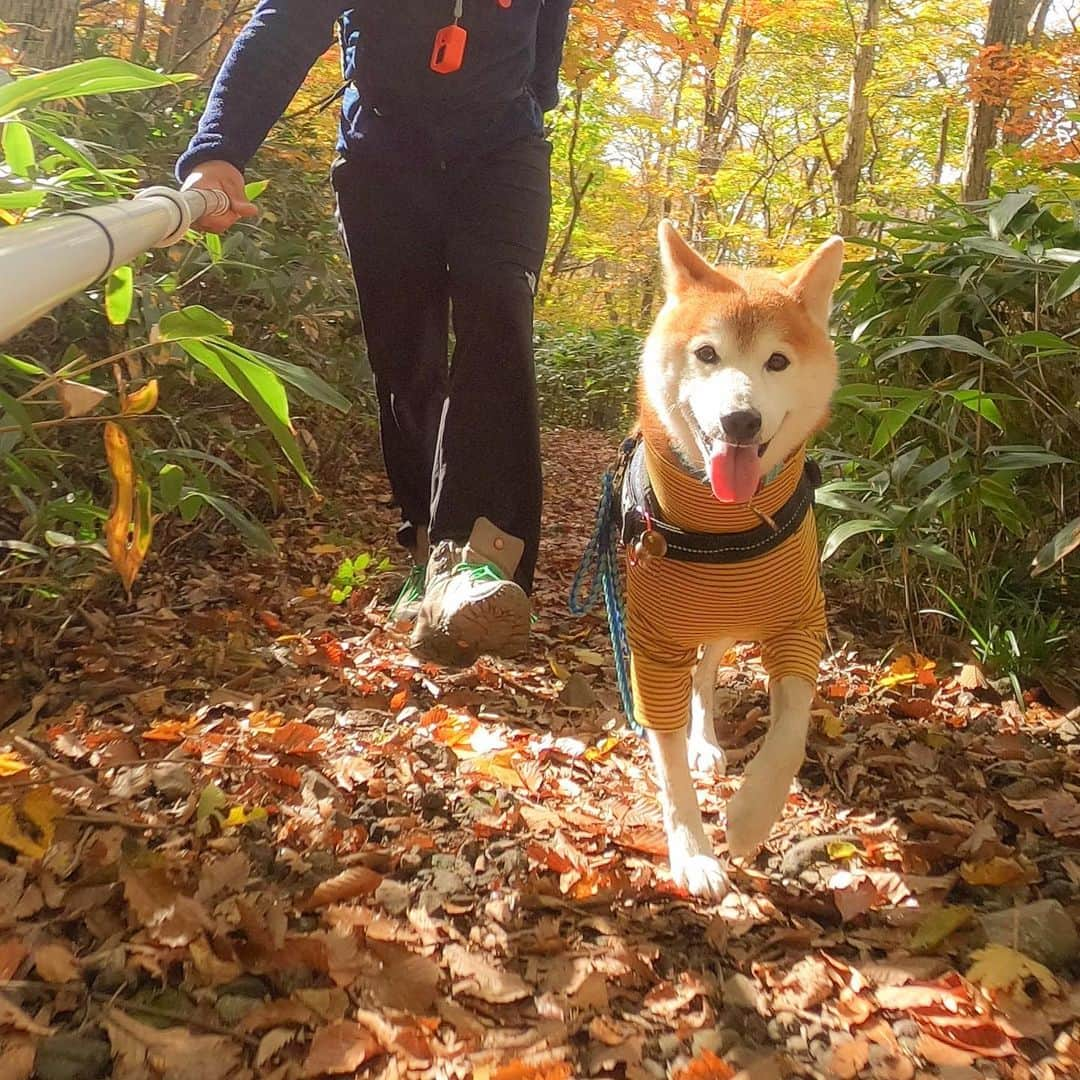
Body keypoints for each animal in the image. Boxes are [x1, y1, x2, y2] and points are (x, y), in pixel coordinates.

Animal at [630, 219, 846, 894]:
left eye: (777, 360)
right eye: (707, 354)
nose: (740, 421)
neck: (723, 522)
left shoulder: (799, 621)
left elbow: (791, 732)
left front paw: (751, 818)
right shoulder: (653, 643)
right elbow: (668, 762)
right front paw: (692, 852)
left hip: (730, 622)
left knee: (706, 674)